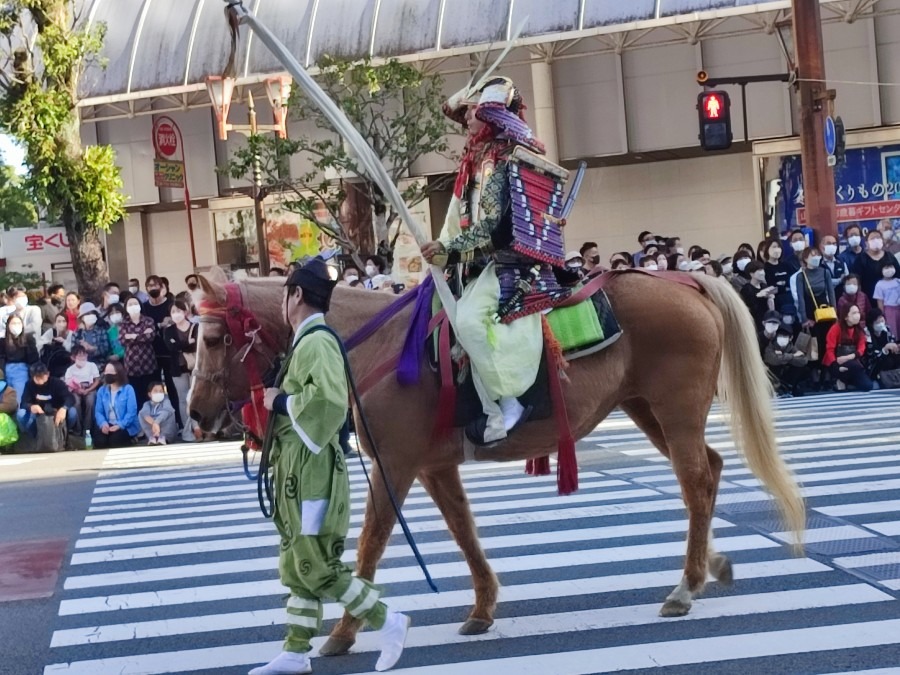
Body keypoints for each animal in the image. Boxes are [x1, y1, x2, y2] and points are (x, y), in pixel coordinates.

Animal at [190, 272, 800, 656]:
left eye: (215, 337)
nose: (195, 412)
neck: (374, 343)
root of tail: (685, 280)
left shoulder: (396, 462)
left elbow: (371, 543)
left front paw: (344, 631)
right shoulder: (433, 467)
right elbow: (464, 531)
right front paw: (483, 608)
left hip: (674, 407)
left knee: (694, 481)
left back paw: (685, 586)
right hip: (647, 407)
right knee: (709, 471)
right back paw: (711, 566)